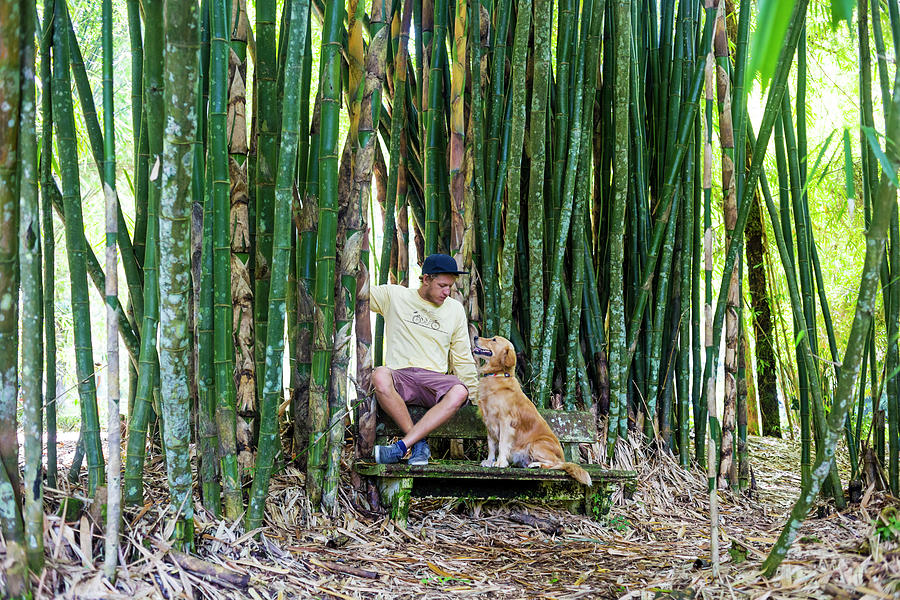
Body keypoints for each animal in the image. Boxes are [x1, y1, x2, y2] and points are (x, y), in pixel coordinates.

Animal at [472, 336, 592, 486]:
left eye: (493, 340)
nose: (475, 337)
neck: (497, 376)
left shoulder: (505, 422)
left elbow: (502, 444)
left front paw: (500, 462)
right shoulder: (489, 421)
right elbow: (492, 445)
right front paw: (489, 460)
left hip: (536, 445)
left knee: (556, 464)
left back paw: (535, 464)